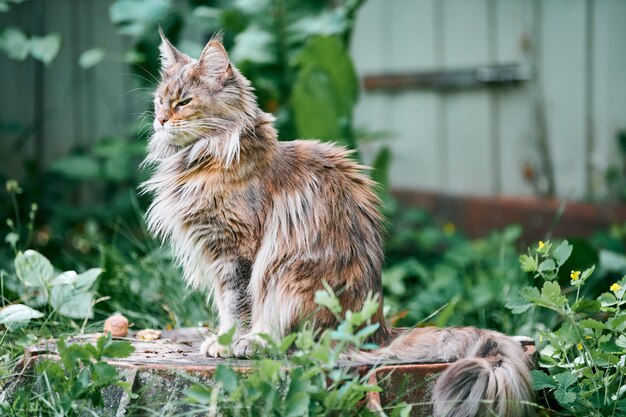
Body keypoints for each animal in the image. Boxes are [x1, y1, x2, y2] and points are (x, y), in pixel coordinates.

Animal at [141, 31, 532, 416]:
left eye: (184, 102)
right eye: (160, 101)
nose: (160, 121)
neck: (204, 157)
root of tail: (377, 331)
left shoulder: (237, 252)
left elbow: (239, 307)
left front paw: (230, 343)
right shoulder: (218, 253)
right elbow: (226, 307)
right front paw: (221, 339)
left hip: (288, 278)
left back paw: (256, 345)